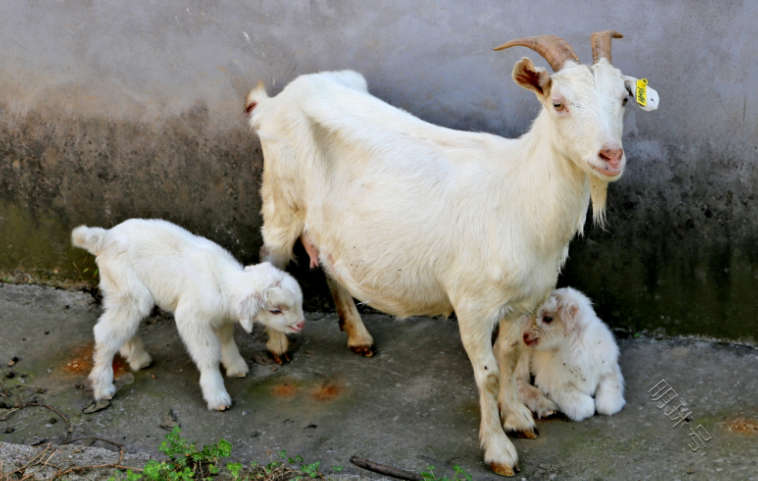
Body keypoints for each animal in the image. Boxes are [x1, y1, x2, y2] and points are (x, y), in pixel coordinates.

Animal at [248, 31, 660, 474]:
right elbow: (489, 374)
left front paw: (518, 418)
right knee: (270, 260)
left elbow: (511, 356)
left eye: (623, 98)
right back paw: (277, 346)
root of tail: (273, 102)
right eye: (558, 103)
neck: (518, 194)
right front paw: (499, 451)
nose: (610, 156)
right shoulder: (472, 305)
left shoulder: (524, 301)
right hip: (281, 201)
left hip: (328, 222)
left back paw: (358, 336)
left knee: (329, 261)